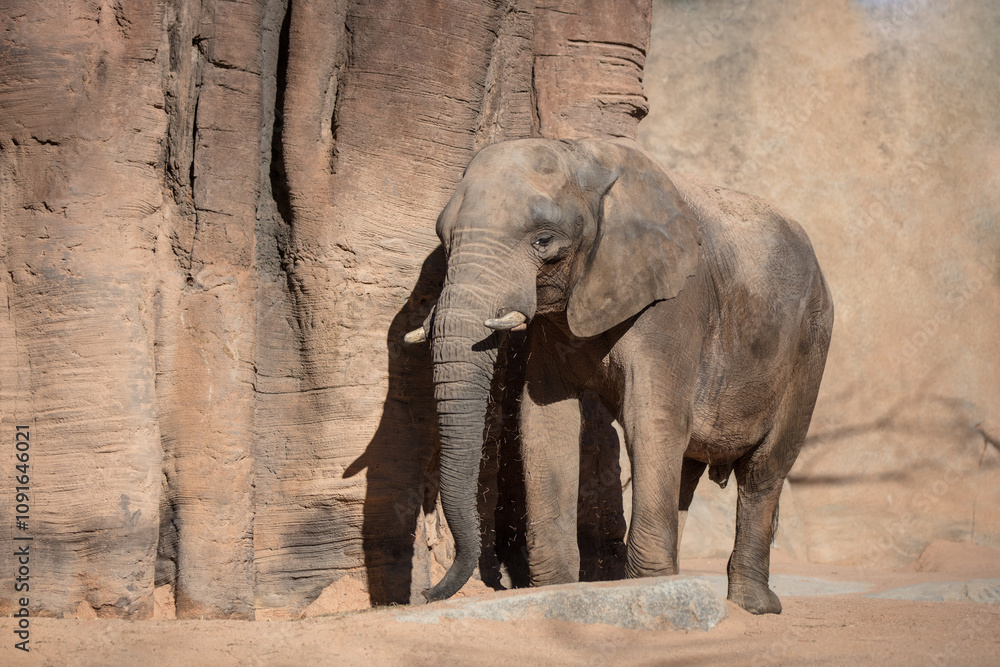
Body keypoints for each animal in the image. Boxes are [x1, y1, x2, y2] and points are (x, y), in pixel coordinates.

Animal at [405, 137, 833, 614]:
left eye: (544, 241)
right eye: (444, 240)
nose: (426, 594)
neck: (586, 158)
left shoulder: (675, 301)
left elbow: (652, 420)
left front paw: (647, 592)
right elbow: (545, 422)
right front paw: (556, 590)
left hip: (810, 345)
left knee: (763, 472)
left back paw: (754, 606)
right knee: (686, 472)